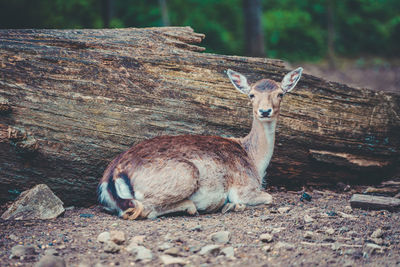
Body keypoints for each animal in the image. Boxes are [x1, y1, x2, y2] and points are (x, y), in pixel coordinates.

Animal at [97, 67, 304, 220]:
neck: (254, 161)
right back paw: (200, 206)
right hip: (186, 173)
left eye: (280, 94)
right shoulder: (244, 187)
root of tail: (112, 176)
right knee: (145, 209)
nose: (265, 111)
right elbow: (270, 197)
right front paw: (233, 204)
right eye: (251, 95)